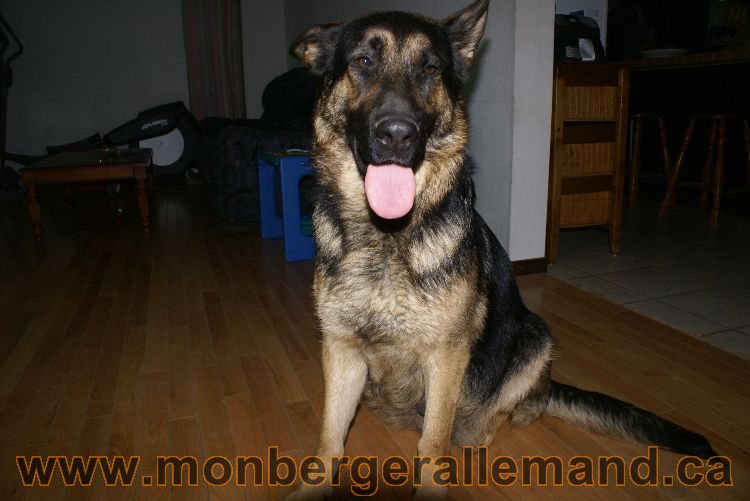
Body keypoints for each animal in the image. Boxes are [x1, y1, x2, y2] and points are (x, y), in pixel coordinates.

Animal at [288, 0, 716, 498]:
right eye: (362, 61)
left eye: (430, 69)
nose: (397, 134)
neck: (387, 238)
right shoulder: (340, 349)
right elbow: (329, 437)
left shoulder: (446, 357)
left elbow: (433, 443)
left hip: (534, 336)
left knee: (520, 404)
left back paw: (497, 419)